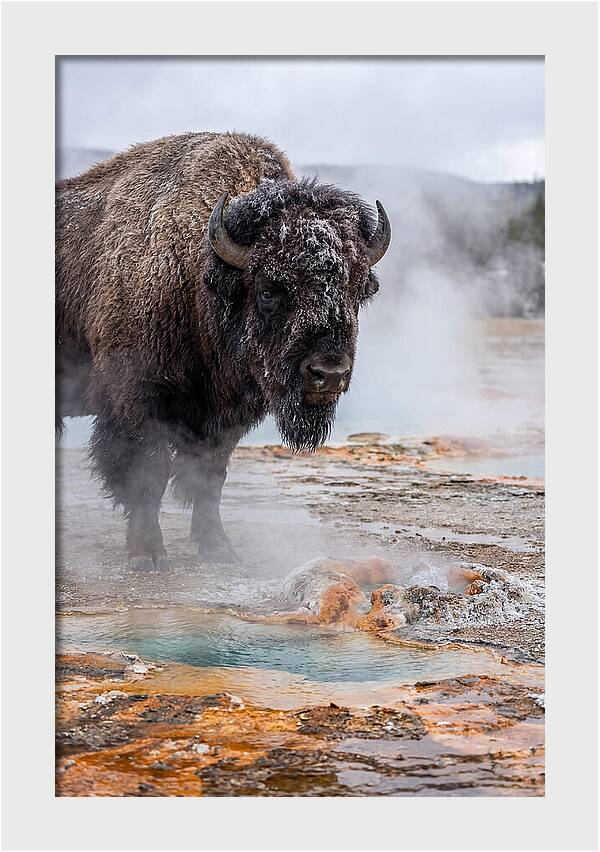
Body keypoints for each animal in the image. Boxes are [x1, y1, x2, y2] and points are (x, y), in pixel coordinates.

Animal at [56, 132, 391, 567]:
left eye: (356, 288)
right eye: (268, 290)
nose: (328, 374)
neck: (198, 274)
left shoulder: (223, 419)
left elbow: (209, 479)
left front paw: (218, 548)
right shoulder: (134, 402)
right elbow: (147, 475)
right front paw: (148, 555)